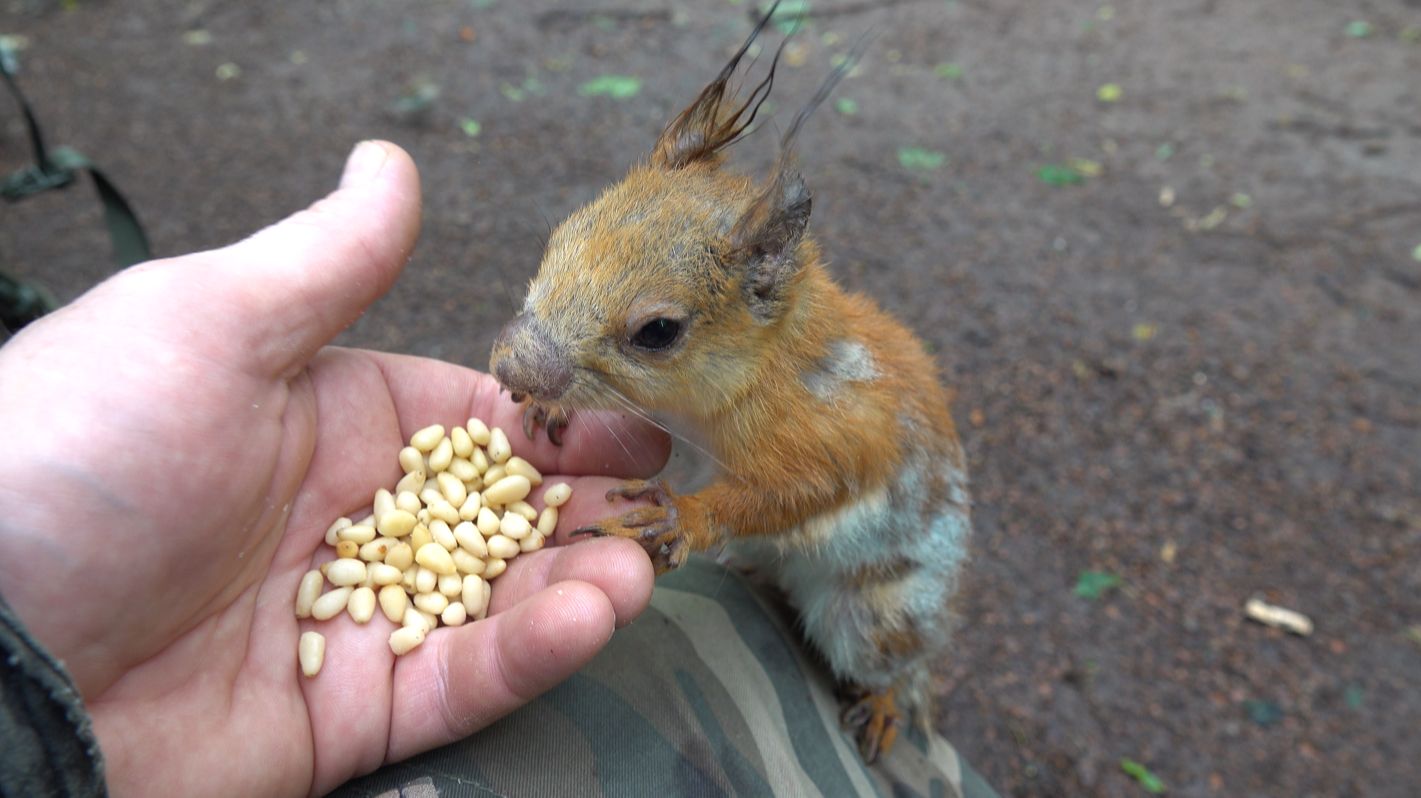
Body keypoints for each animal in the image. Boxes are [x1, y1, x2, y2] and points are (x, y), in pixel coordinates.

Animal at [489, 5, 971, 764]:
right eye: (559, 237)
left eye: (657, 331)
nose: (512, 365)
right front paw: (548, 406)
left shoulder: (830, 432)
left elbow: (798, 491)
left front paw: (679, 516)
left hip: (878, 614)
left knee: (898, 663)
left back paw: (889, 703)